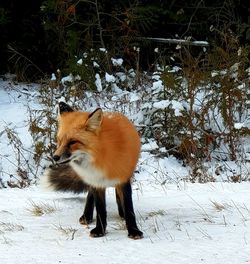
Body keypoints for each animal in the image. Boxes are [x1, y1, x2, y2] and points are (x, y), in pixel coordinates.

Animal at [43, 102, 143, 238]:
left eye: (73, 142)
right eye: (59, 141)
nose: (55, 157)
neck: (102, 157)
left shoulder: (123, 177)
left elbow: (129, 208)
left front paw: (133, 230)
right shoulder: (96, 181)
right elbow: (100, 209)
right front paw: (100, 230)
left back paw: (120, 212)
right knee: (90, 195)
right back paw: (86, 216)